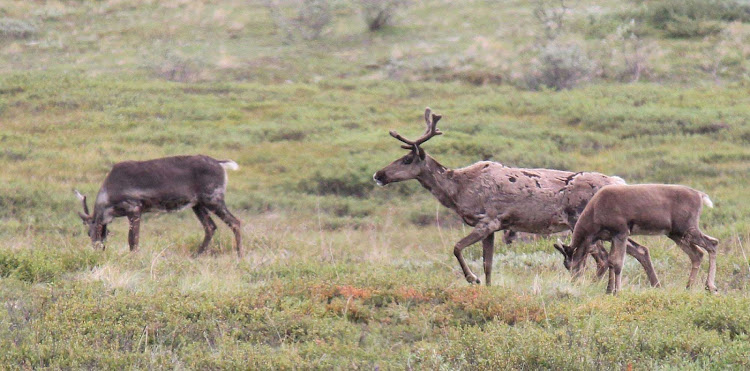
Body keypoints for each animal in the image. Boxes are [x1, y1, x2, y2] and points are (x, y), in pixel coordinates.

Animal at [75, 155, 242, 258]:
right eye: (88, 234)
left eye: (92, 231)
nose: (97, 249)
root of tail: (221, 164)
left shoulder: (134, 208)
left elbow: (133, 239)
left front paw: (134, 259)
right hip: (198, 204)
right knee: (210, 227)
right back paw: (196, 256)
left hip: (213, 199)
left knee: (235, 222)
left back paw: (239, 256)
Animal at [556, 185, 720, 294]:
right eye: (566, 265)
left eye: (571, 264)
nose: (574, 282)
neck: (595, 212)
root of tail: (700, 195)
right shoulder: (611, 236)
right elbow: (610, 261)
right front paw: (609, 290)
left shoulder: (621, 232)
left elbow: (617, 263)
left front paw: (617, 291)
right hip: (676, 234)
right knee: (697, 254)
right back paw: (689, 287)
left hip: (687, 228)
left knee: (712, 243)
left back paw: (710, 286)